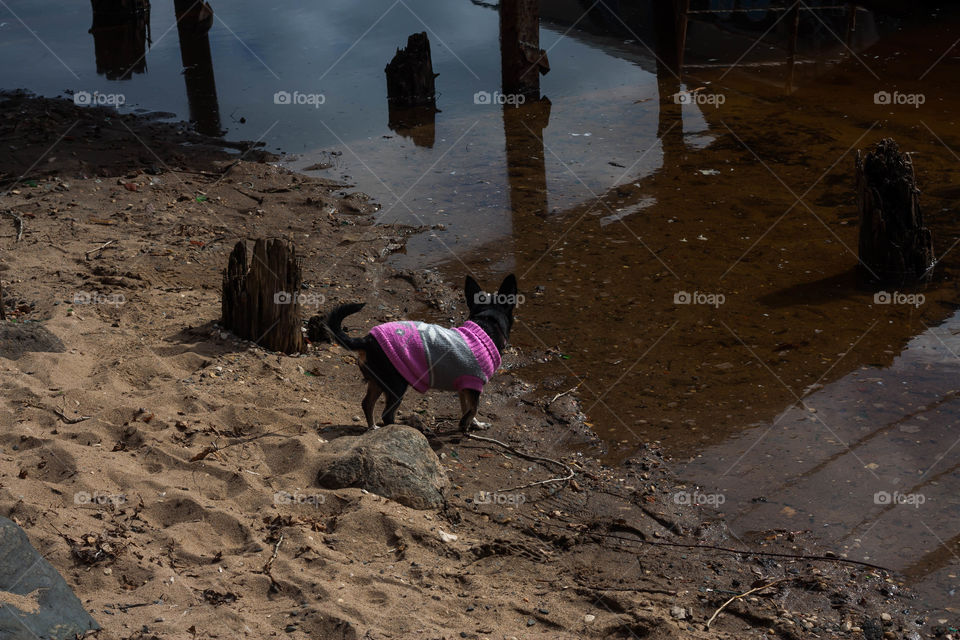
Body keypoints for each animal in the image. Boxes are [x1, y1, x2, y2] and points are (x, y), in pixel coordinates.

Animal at [316, 276, 516, 436]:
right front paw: (465, 424)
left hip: (378, 381)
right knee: (387, 414)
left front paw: (475, 424)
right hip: (396, 385)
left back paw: (373, 428)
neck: (485, 324)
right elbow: (473, 408)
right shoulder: (474, 384)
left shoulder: (464, 388)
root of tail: (367, 340)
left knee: (367, 404)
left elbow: (467, 407)